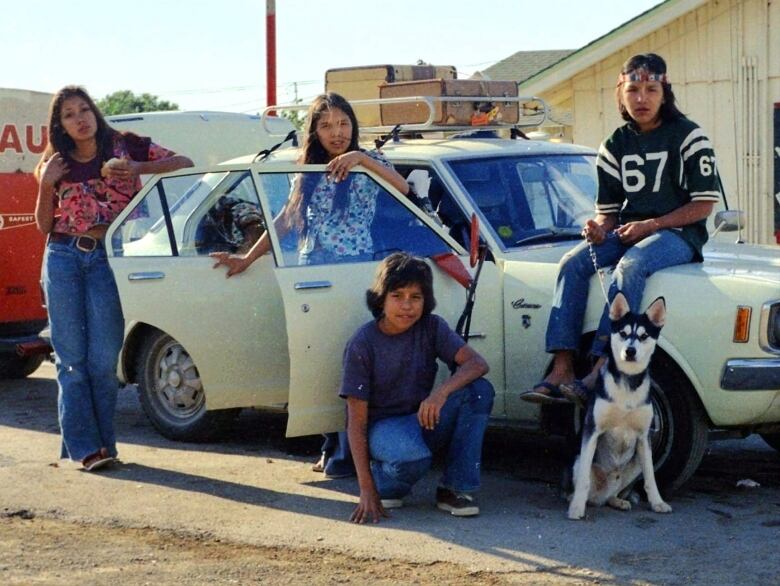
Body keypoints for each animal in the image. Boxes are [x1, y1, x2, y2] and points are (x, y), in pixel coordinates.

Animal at [568, 294, 672, 516]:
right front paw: (577, 507)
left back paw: (617, 501)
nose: (630, 351)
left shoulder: (644, 437)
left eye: (643, 336)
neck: (628, 383)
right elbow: (583, 479)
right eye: (623, 333)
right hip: (577, 460)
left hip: (635, 464)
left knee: (614, 494)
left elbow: (651, 477)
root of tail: (600, 497)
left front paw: (657, 502)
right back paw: (576, 500)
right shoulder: (592, 430)